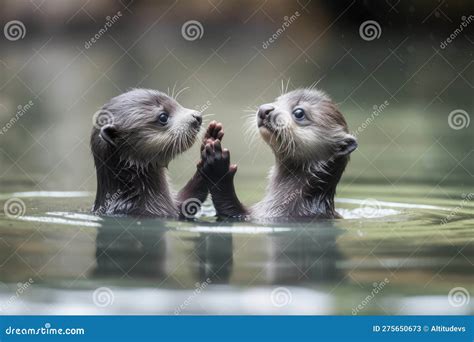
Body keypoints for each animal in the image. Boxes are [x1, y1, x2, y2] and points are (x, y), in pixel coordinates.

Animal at [199, 87, 356, 218]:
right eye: (277, 100)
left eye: (299, 113)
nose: (264, 109)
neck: (295, 201)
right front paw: (209, 137)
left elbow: (229, 208)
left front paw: (217, 165)